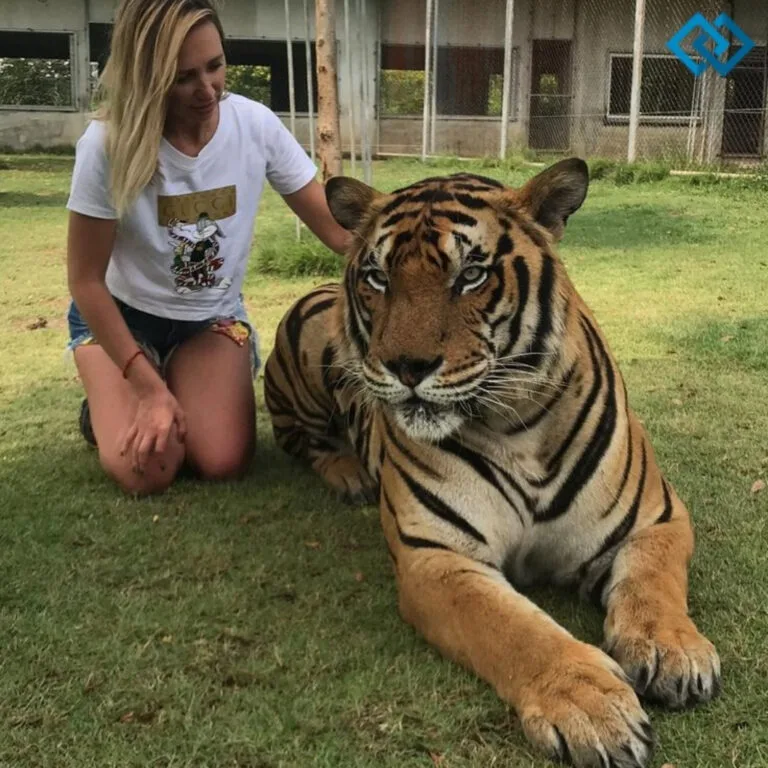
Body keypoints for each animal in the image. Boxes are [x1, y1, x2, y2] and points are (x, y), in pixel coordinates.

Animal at [263, 159, 720, 768]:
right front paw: (590, 706)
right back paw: (348, 474)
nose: (406, 366)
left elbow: (653, 581)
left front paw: (674, 650)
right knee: (301, 440)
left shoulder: (657, 518)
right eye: (378, 278)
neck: (517, 425)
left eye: (472, 275)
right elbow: (514, 630)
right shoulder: (437, 557)